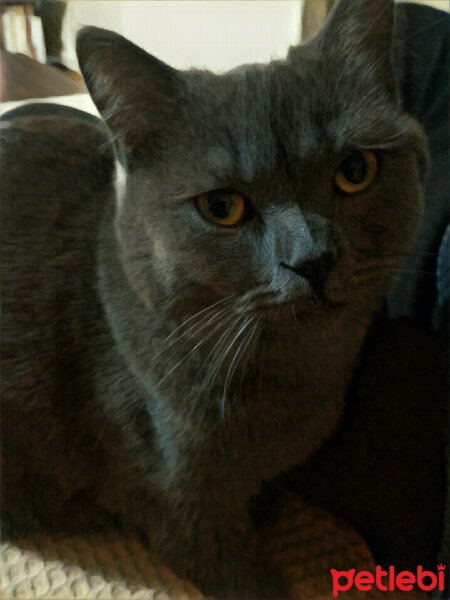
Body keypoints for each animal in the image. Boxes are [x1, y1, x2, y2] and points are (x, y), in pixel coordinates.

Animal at [0, 0, 428, 596]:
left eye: (355, 171)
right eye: (222, 207)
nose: (312, 259)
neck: (295, 379)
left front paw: (266, 507)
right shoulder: (180, 509)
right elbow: (243, 574)